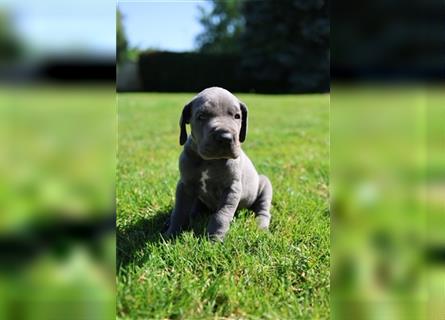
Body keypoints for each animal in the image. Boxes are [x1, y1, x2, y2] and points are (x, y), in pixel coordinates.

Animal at [165, 86, 272, 241]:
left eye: (237, 116)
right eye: (201, 116)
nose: (225, 137)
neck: (209, 161)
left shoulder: (232, 188)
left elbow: (221, 215)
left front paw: (214, 239)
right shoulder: (185, 185)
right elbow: (179, 211)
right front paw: (171, 234)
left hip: (265, 184)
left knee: (263, 210)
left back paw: (261, 226)